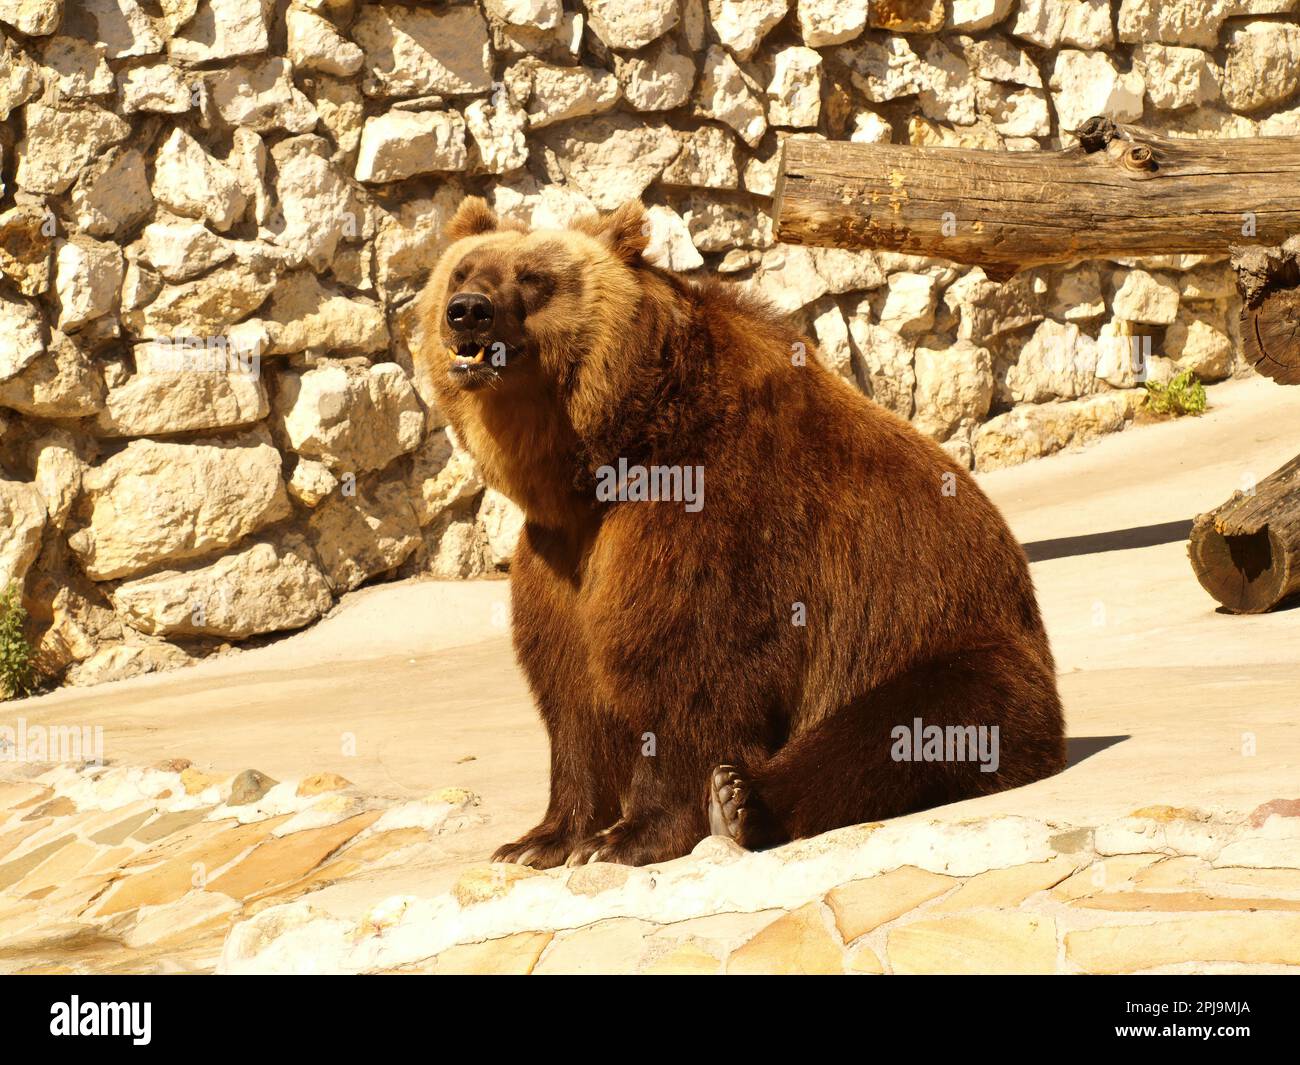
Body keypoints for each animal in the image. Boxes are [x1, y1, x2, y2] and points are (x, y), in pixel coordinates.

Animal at [418, 196, 1066, 868]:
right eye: (463, 270)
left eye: (534, 279)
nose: (467, 311)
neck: (606, 456)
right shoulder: (560, 553)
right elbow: (571, 690)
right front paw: (539, 840)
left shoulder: (714, 515)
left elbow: (691, 666)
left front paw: (626, 837)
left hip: (942, 637)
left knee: (903, 727)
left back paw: (741, 801)